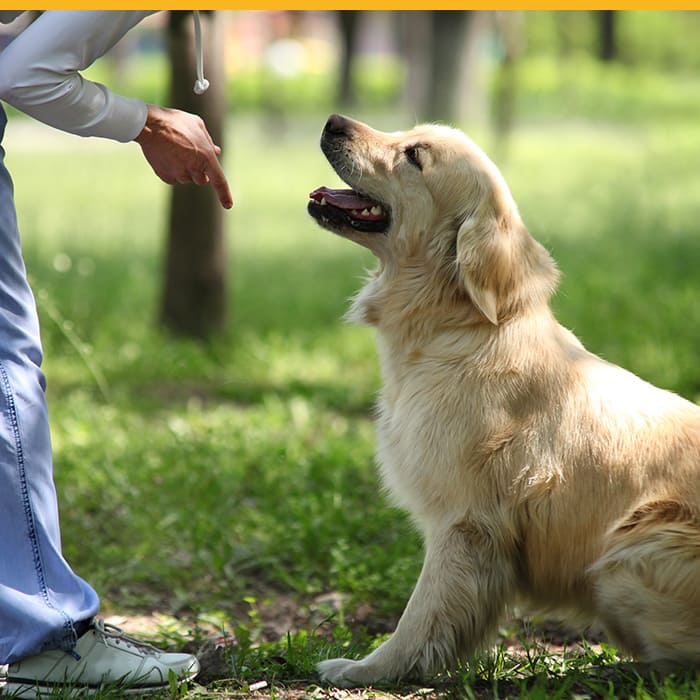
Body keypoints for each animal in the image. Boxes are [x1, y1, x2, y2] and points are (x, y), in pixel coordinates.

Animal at [306, 113, 700, 684]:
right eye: (407, 133)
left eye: (414, 156)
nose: (334, 121)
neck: (458, 326)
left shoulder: (465, 523)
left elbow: (421, 615)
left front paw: (370, 669)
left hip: (630, 551)